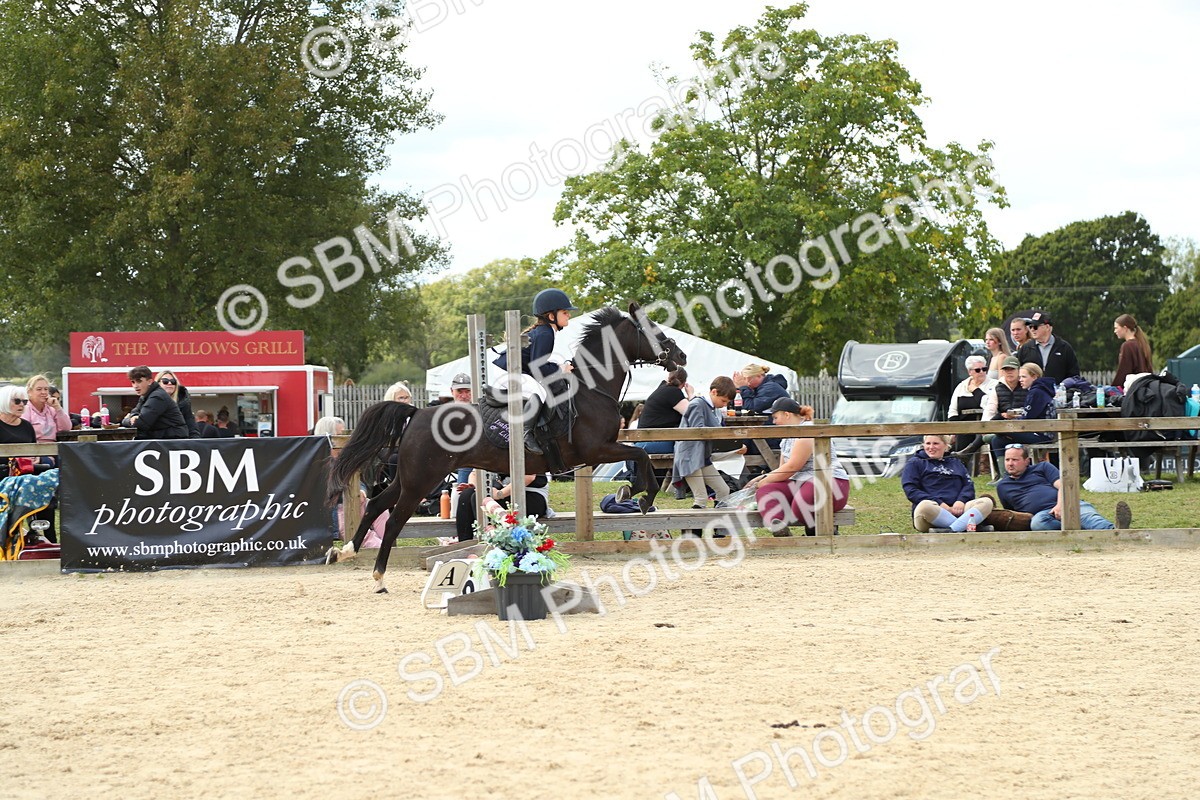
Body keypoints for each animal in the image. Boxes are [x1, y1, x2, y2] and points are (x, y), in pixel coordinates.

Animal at [326, 302, 687, 592]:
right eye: (654, 331)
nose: (681, 356)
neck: (593, 389)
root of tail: (415, 413)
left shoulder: (602, 450)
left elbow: (641, 455)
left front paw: (632, 492)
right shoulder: (597, 450)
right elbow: (641, 455)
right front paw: (640, 495)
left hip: (409, 477)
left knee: (376, 505)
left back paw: (345, 552)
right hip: (421, 480)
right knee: (394, 519)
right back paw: (378, 576)